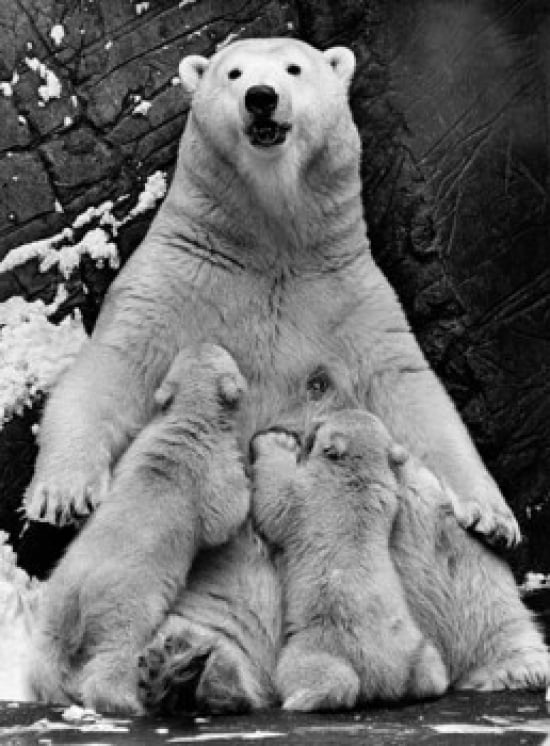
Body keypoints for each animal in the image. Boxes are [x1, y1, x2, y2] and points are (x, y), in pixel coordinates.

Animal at [29, 343, 249, 713]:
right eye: (223, 353)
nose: (204, 341)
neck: (189, 418)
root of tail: (79, 598)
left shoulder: (140, 444)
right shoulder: (212, 468)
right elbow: (225, 516)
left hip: (54, 603)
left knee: (47, 652)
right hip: (127, 608)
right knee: (115, 651)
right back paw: (128, 699)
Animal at [248, 410, 549, 712]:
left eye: (321, 423)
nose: (308, 424)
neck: (355, 477)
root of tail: (378, 677)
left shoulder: (308, 499)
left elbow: (275, 503)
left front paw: (273, 440)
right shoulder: (383, 495)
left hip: (318, 644)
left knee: (320, 674)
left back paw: (300, 698)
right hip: (415, 649)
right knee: (429, 668)